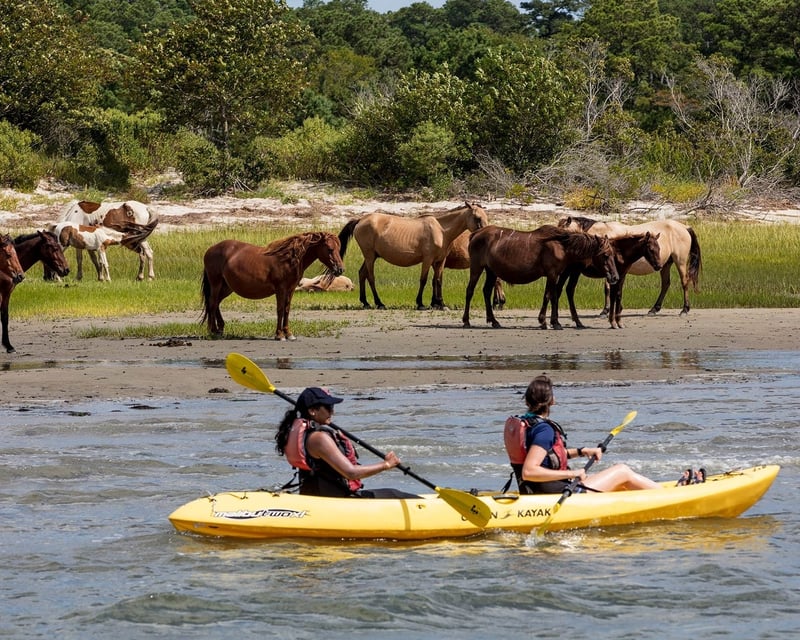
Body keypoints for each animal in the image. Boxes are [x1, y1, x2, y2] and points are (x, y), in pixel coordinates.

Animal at [201, 232, 345, 341]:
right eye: (330, 249)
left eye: (338, 249)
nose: (340, 269)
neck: (288, 259)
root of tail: (210, 250)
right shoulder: (280, 289)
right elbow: (280, 309)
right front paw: (279, 335)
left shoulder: (290, 289)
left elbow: (286, 310)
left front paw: (288, 334)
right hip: (216, 283)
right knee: (212, 303)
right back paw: (212, 331)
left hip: (227, 287)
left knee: (216, 303)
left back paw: (219, 329)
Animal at [338, 202, 489, 310]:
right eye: (477, 218)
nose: (485, 233)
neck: (441, 230)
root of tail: (360, 220)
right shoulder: (427, 260)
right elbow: (424, 280)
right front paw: (420, 303)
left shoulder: (439, 261)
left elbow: (437, 280)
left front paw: (440, 303)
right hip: (369, 256)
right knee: (370, 277)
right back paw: (379, 303)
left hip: (372, 256)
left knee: (362, 274)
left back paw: (365, 302)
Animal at [462, 225, 619, 329]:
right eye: (606, 255)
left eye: (613, 254)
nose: (615, 277)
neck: (561, 245)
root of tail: (476, 233)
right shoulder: (552, 274)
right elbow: (549, 296)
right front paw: (544, 321)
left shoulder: (556, 275)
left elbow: (552, 296)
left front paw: (554, 322)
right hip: (476, 268)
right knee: (469, 291)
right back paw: (466, 321)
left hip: (491, 271)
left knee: (486, 291)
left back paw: (494, 321)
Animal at [558, 216, 702, 315]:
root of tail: (684, 227)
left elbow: (608, 288)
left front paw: (606, 310)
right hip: (665, 264)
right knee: (665, 284)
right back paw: (654, 309)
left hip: (680, 261)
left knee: (684, 282)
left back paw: (685, 309)